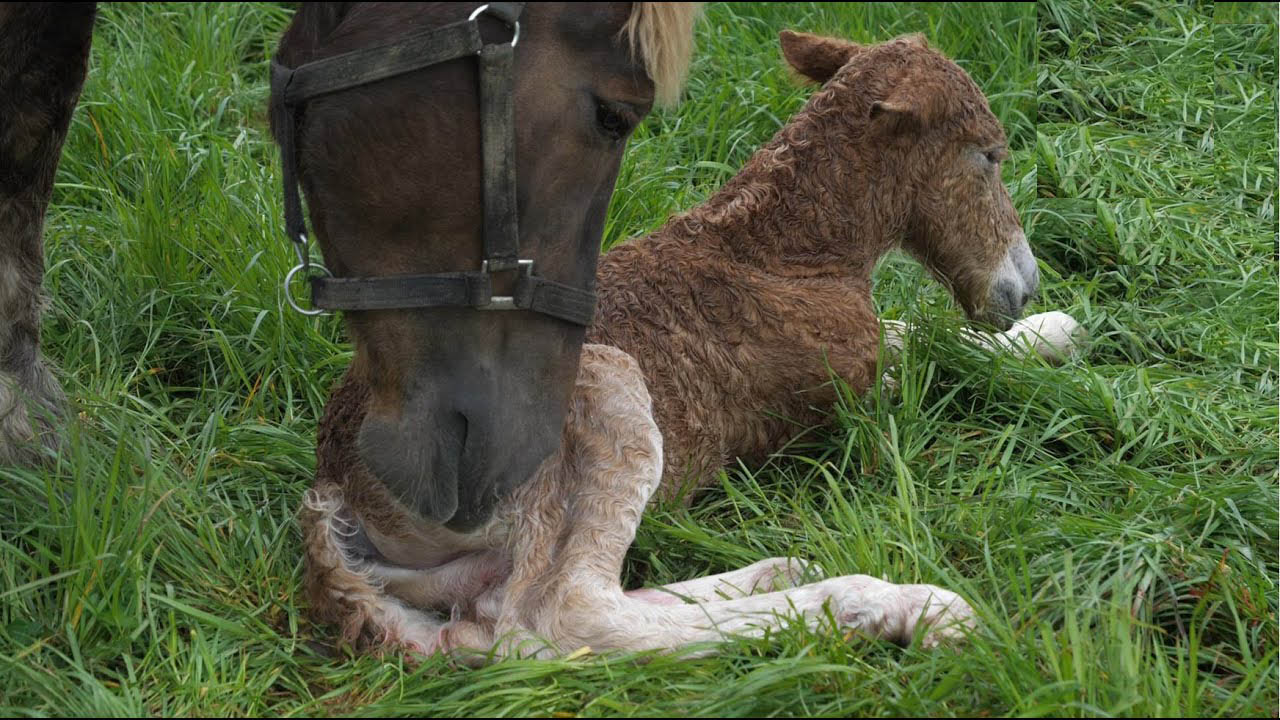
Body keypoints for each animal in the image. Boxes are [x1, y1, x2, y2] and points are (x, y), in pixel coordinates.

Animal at [299, 30, 1080, 661]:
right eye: (989, 156)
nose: (1023, 286)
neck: (785, 248)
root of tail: (334, 481)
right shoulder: (846, 390)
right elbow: (935, 350)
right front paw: (1049, 332)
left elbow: (920, 331)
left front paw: (1051, 330)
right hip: (603, 394)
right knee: (566, 616)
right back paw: (893, 604)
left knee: (505, 610)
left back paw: (781, 573)